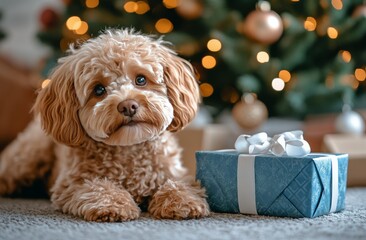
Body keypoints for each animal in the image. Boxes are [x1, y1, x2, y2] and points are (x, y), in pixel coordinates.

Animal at [0, 29, 209, 222]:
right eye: (99, 90)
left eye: (141, 79)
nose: (128, 106)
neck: (128, 150)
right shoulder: (71, 184)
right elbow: (99, 187)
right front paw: (112, 205)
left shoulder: (173, 172)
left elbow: (177, 184)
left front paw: (182, 200)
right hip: (28, 158)